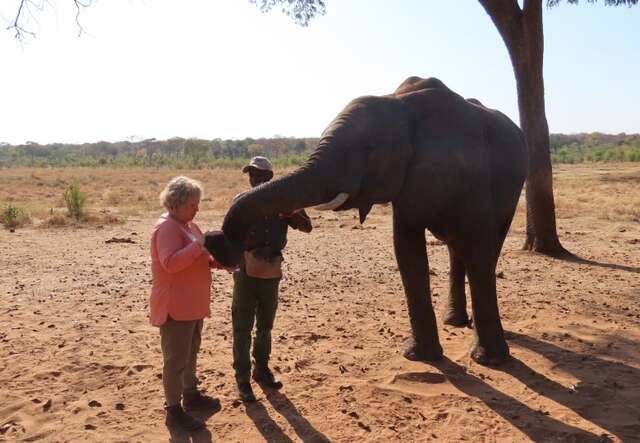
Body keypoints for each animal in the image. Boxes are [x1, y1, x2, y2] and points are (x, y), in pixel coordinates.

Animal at [222, 77, 528, 368]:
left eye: (369, 150)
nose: (222, 244)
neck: (401, 104)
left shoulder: (474, 176)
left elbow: (478, 251)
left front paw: (491, 361)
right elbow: (407, 251)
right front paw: (420, 356)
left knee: (487, 246)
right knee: (456, 250)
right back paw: (453, 321)